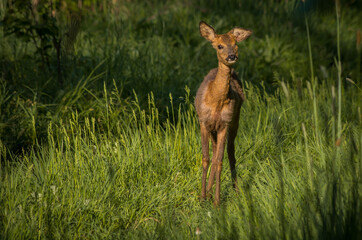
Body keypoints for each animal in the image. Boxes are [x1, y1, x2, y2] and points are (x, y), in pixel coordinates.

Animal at [195, 20, 252, 205]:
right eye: (219, 46)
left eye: (236, 45)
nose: (231, 56)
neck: (216, 101)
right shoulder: (203, 122)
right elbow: (205, 158)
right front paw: (202, 196)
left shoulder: (224, 124)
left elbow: (220, 161)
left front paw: (217, 201)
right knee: (213, 154)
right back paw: (208, 190)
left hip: (235, 121)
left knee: (230, 152)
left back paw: (235, 190)